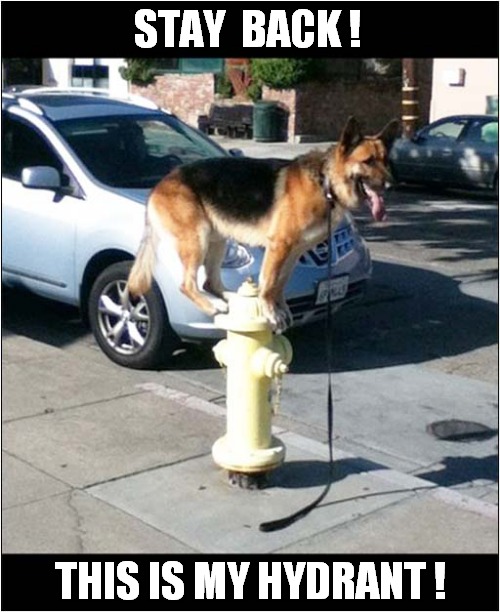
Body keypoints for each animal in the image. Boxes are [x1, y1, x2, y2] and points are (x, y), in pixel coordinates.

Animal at [128, 117, 398, 332]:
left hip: (217, 241)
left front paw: (281, 309)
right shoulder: (279, 246)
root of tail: (159, 185)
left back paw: (229, 298)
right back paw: (214, 306)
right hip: (197, 240)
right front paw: (270, 312)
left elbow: (280, 283)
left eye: (386, 161)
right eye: (368, 161)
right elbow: (268, 283)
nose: (390, 185)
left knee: (209, 282)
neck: (325, 182)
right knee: (187, 284)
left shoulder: (294, 251)